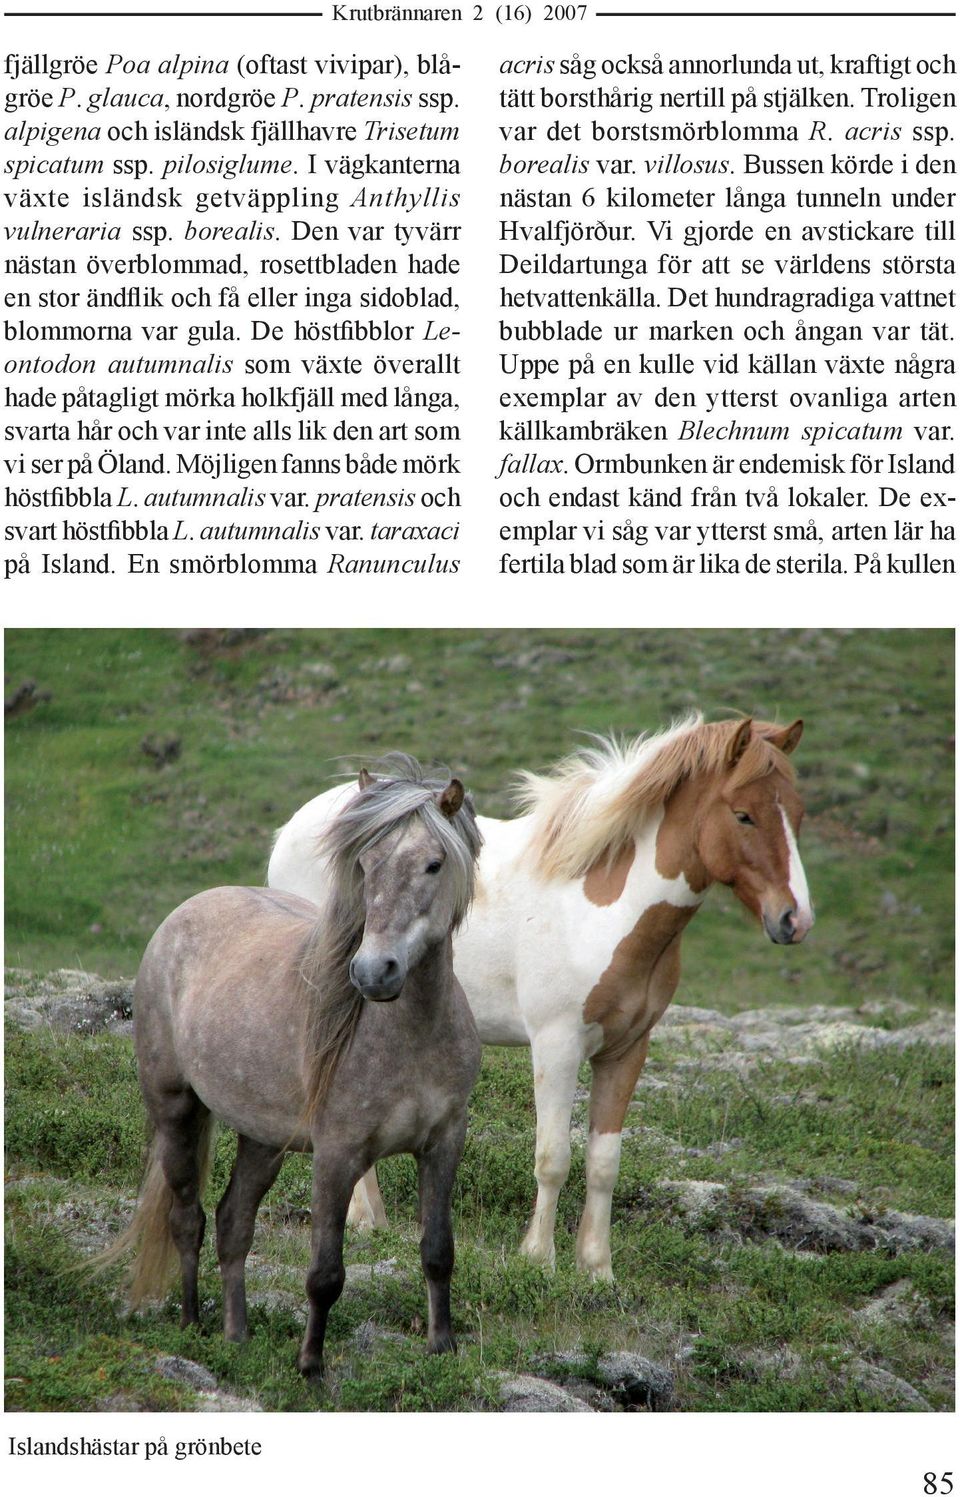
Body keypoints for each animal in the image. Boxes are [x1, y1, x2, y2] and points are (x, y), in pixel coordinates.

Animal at [268, 718, 808, 1281]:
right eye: (743, 814)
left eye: (797, 813)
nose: (793, 918)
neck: (604, 911)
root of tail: (293, 827)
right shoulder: (557, 1045)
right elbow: (553, 1157)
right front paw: (539, 1258)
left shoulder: (627, 1050)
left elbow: (603, 1163)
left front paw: (596, 1268)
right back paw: (365, 1220)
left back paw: (371, 1217)